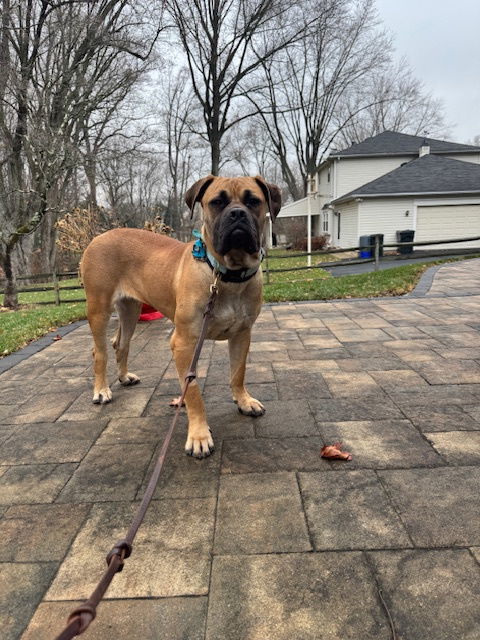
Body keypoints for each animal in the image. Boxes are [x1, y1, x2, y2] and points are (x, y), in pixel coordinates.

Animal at [80, 175, 280, 456]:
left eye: (253, 201)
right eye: (217, 202)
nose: (238, 214)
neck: (225, 274)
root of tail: (98, 238)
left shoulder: (242, 334)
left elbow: (238, 372)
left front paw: (244, 401)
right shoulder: (184, 343)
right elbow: (193, 391)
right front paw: (198, 435)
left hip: (130, 309)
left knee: (121, 343)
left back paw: (124, 377)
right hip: (99, 308)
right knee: (99, 351)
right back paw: (101, 390)